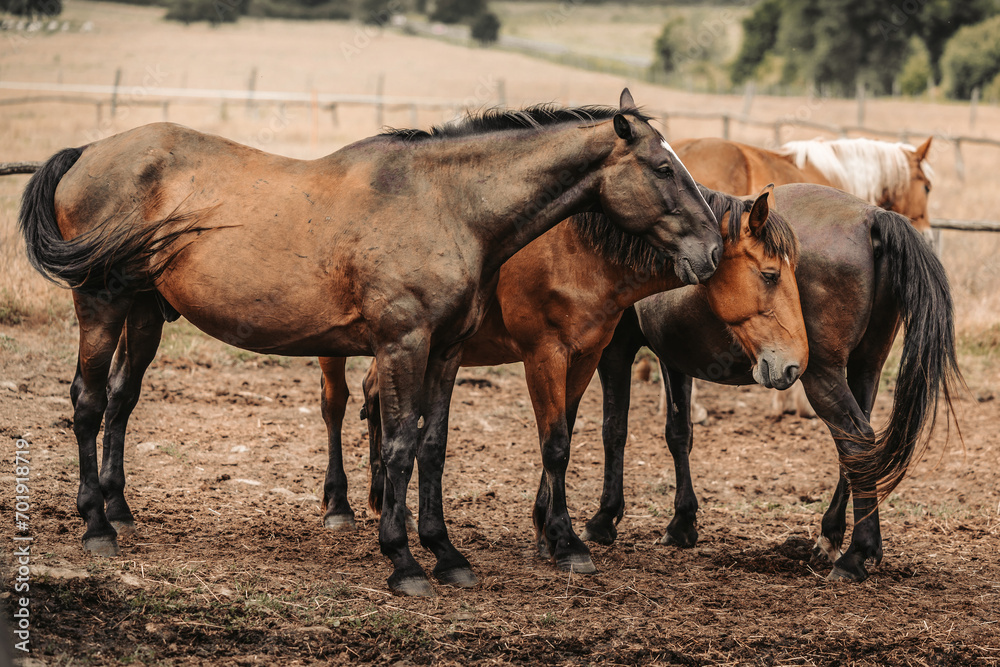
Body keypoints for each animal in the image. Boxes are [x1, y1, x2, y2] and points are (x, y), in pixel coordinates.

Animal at [19, 90, 724, 600]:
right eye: (663, 167)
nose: (714, 250)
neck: (449, 205)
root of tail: (87, 152)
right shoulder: (403, 346)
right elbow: (400, 444)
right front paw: (404, 560)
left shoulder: (446, 351)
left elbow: (433, 447)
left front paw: (446, 553)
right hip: (102, 305)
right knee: (87, 402)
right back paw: (96, 525)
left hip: (143, 314)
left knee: (119, 399)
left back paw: (119, 508)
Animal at [324, 183, 808, 576]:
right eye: (770, 275)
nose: (794, 364)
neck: (576, 250)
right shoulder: (550, 355)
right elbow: (561, 442)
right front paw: (571, 539)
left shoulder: (587, 355)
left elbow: (569, 433)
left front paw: (547, 532)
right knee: (337, 405)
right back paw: (339, 505)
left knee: (374, 398)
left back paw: (386, 503)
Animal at [584, 181, 960, 580]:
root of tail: (871, 216)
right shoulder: (672, 356)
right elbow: (679, 433)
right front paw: (682, 522)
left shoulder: (615, 349)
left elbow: (614, 430)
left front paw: (604, 518)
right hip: (866, 367)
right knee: (860, 447)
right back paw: (832, 537)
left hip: (822, 375)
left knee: (855, 441)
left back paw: (857, 553)